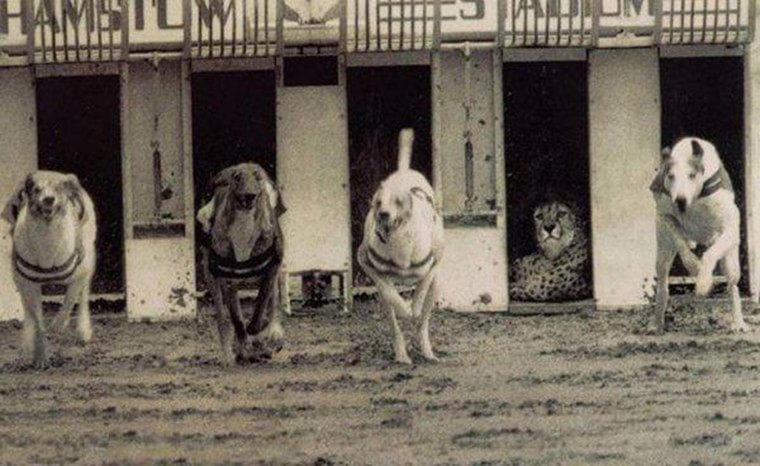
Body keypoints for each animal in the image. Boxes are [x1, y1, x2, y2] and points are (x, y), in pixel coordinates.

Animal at [1, 170, 96, 368]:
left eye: (59, 188)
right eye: (37, 189)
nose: (48, 199)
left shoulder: (79, 276)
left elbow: (68, 302)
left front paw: (57, 328)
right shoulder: (27, 283)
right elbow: (37, 319)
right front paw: (40, 356)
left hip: (90, 257)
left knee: (84, 294)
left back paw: (83, 331)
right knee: (27, 310)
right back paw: (27, 345)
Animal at [197, 162, 286, 366]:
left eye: (258, 178)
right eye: (236, 177)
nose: (249, 195)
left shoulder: (271, 273)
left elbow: (261, 306)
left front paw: (262, 337)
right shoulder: (228, 281)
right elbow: (237, 321)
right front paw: (245, 348)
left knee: (272, 305)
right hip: (211, 278)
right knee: (223, 320)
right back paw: (234, 354)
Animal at [356, 129, 446, 366]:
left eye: (398, 201)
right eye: (378, 202)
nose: (383, 214)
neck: (399, 244)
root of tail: (404, 172)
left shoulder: (435, 261)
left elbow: (421, 289)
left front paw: (413, 306)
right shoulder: (366, 262)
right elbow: (390, 293)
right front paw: (404, 306)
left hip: (437, 286)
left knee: (422, 324)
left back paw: (426, 350)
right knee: (394, 322)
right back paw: (402, 355)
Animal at [648, 137, 748, 334]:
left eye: (691, 175)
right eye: (671, 176)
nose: (680, 200)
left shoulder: (730, 229)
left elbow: (710, 254)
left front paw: (703, 282)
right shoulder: (664, 216)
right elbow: (681, 244)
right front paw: (695, 267)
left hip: (731, 261)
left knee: (732, 285)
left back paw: (738, 323)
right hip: (663, 253)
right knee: (663, 283)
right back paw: (657, 323)